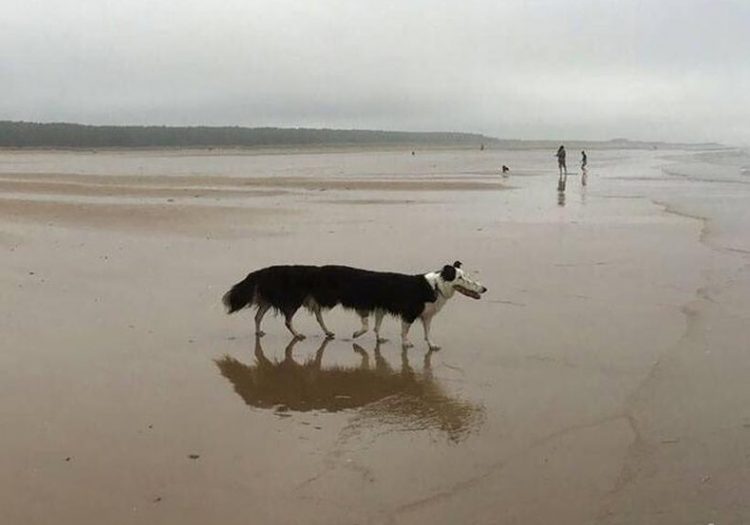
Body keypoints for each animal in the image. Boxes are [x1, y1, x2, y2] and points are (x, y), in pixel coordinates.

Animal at [222, 260, 494, 350]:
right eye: (462, 278)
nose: (484, 289)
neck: (434, 286)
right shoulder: (401, 311)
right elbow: (397, 329)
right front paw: (405, 343)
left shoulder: (419, 315)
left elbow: (424, 332)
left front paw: (432, 345)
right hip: (294, 301)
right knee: (286, 319)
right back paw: (298, 334)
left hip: (296, 301)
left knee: (260, 314)